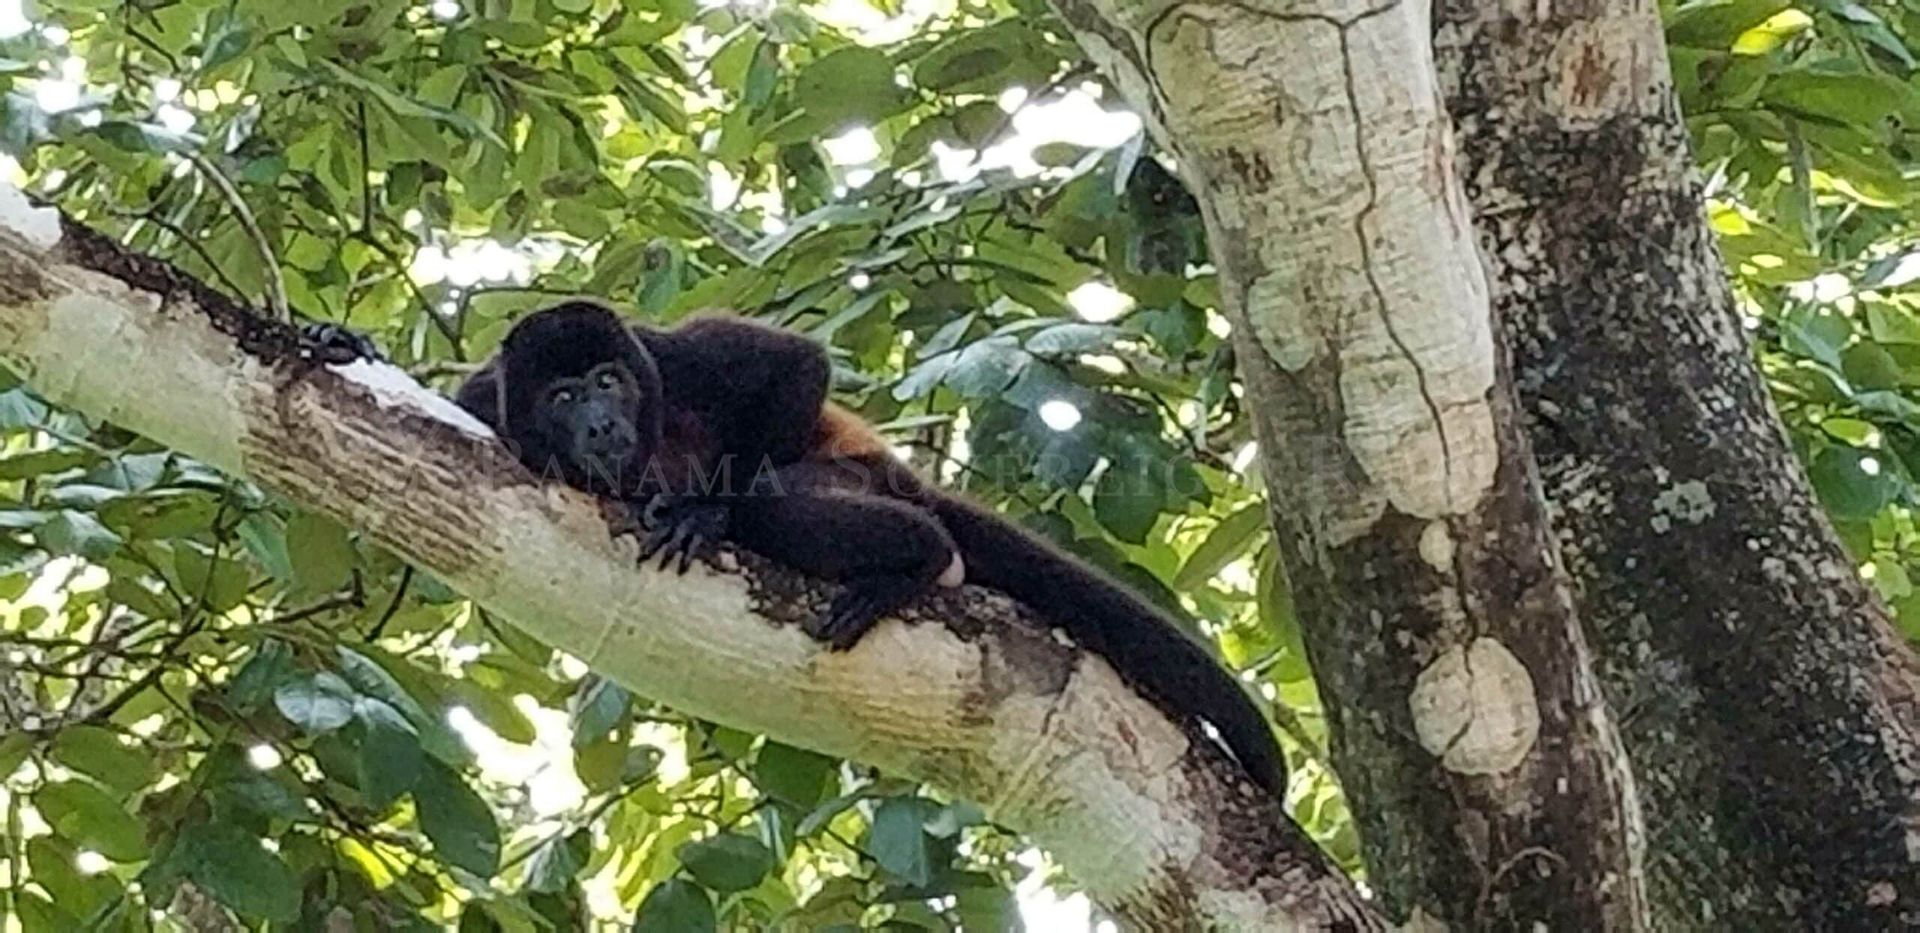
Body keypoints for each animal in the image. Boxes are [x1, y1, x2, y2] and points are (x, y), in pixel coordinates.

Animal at [307, 303, 1282, 798]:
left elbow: (791, 364)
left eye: (610, 380)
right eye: (561, 396)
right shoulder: (491, 401)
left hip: (852, 472)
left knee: (786, 500)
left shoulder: (675, 358)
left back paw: (914, 557)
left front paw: (710, 509)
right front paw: (346, 342)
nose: (600, 423)